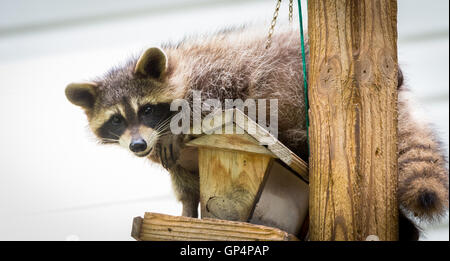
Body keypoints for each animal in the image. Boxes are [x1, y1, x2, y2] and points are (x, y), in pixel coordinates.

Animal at [65, 26, 448, 240]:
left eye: (146, 109)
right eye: (116, 120)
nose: (137, 144)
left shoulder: (214, 72)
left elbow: (218, 97)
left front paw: (185, 123)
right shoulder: (168, 157)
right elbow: (186, 183)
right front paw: (187, 211)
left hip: (295, 77)